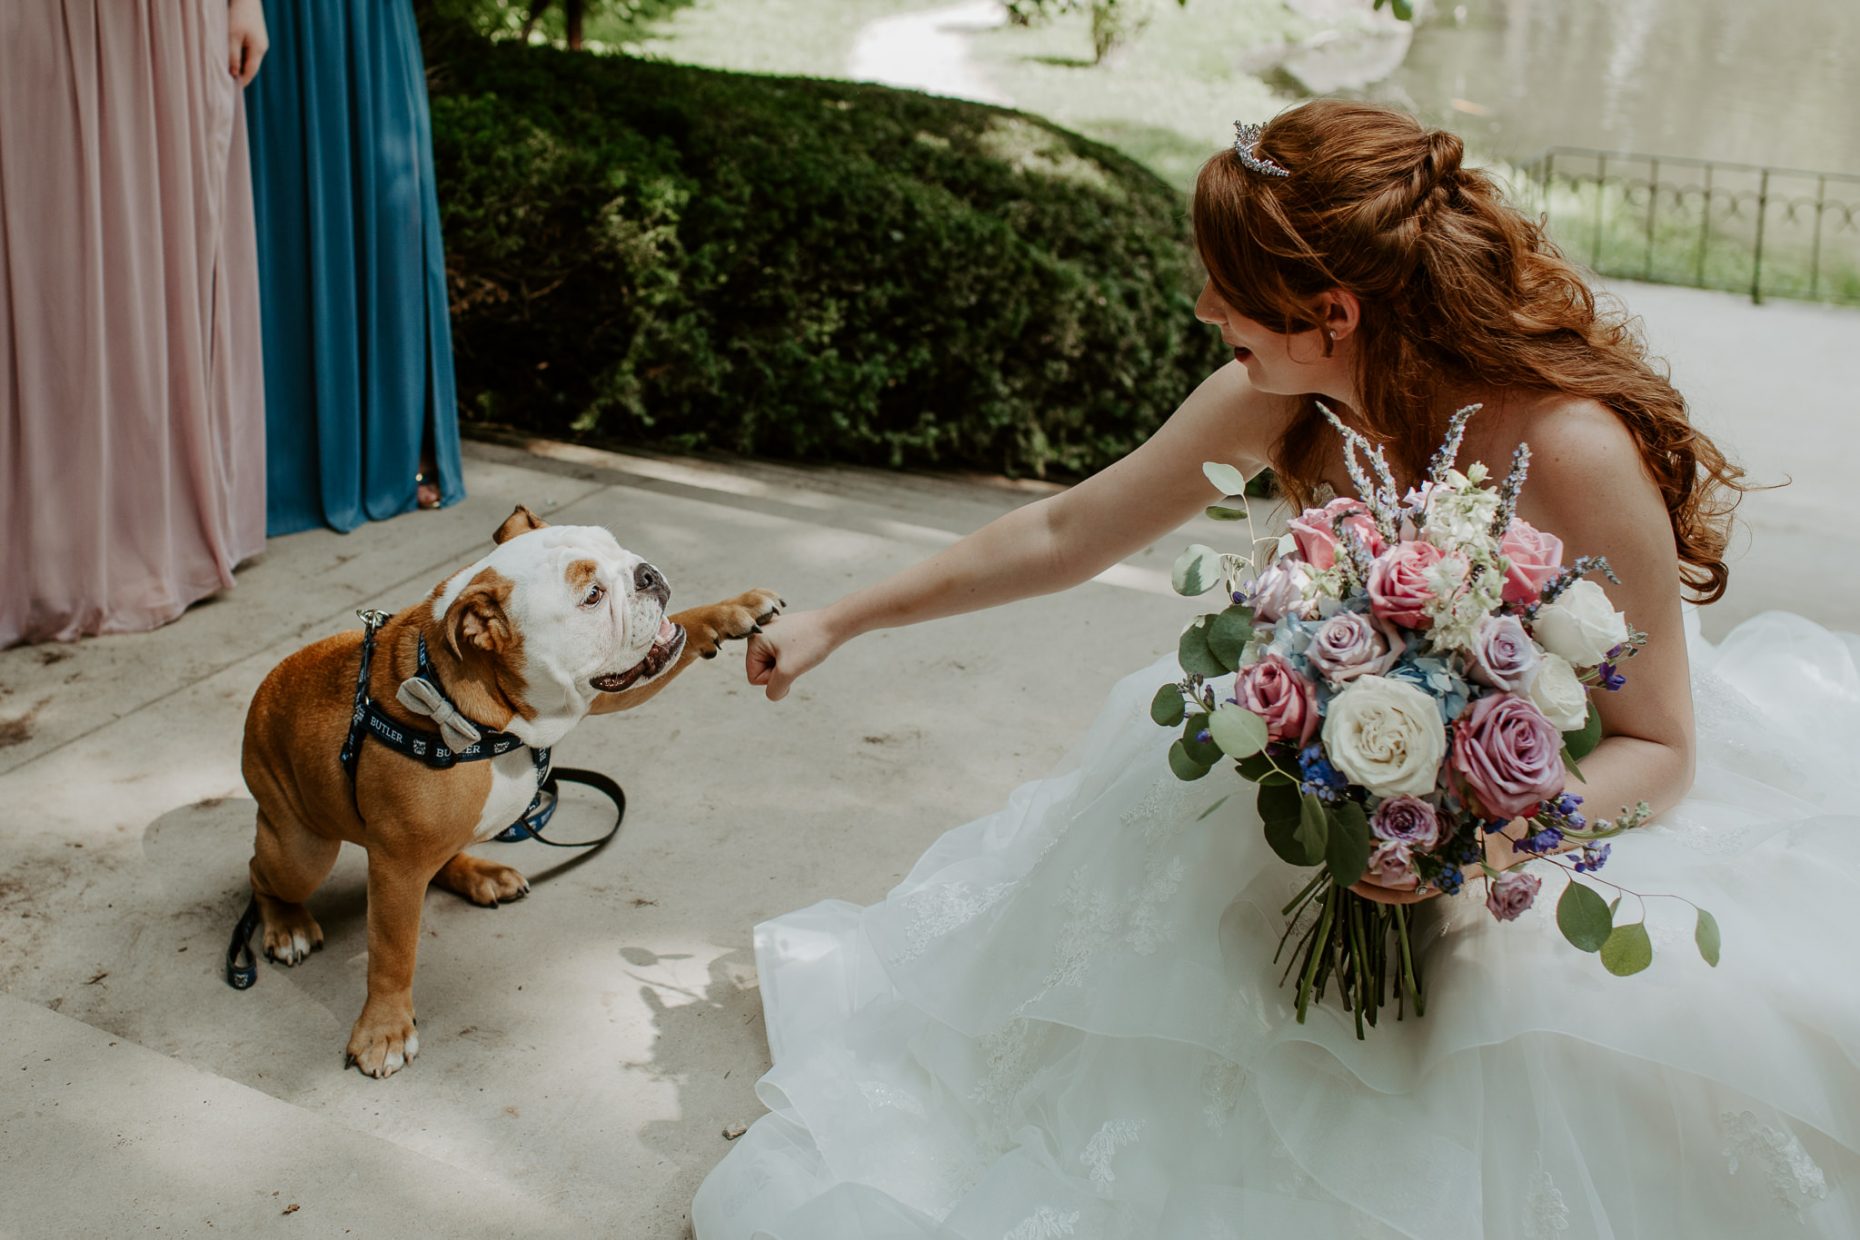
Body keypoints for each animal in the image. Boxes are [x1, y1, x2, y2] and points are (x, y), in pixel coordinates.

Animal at [239, 504, 780, 1078]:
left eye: (615, 546)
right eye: (592, 596)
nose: (646, 573)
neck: (478, 711)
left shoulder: (589, 695)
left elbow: (683, 634)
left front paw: (734, 608)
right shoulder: (396, 867)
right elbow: (392, 951)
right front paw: (383, 1030)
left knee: (442, 856)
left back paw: (480, 873)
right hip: (301, 849)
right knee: (263, 872)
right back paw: (286, 925)